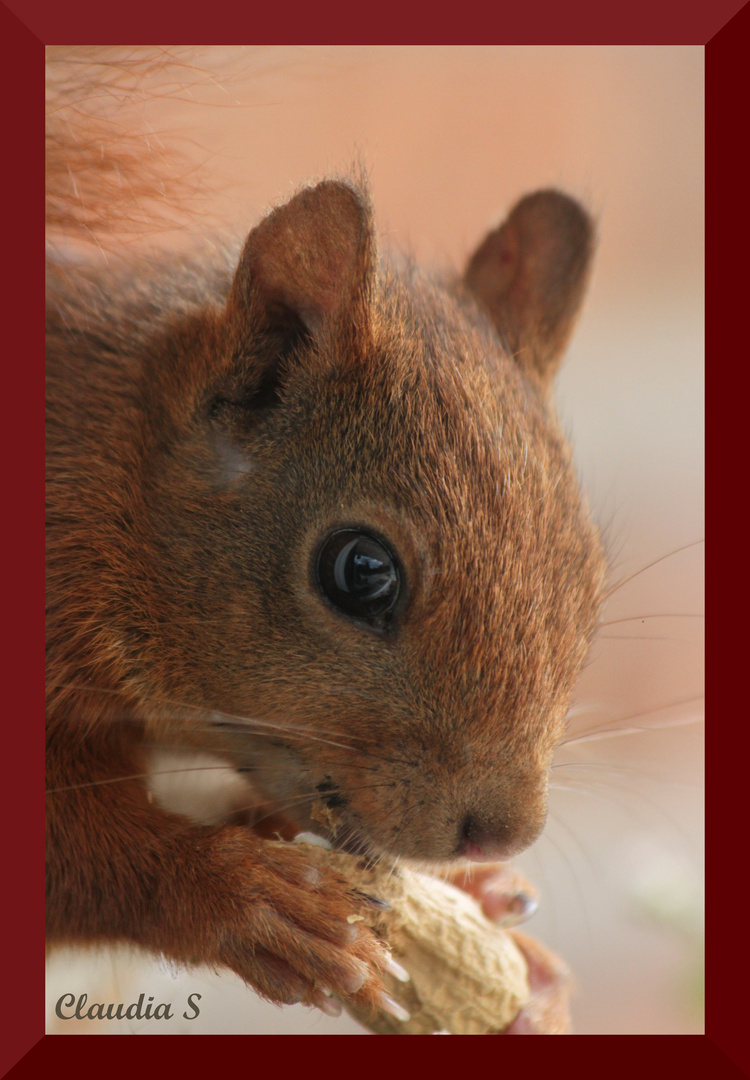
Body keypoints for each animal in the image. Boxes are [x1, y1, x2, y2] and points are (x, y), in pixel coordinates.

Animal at [45, 50, 609, 1028]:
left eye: (590, 579)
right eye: (361, 571)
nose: (501, 832)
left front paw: (503, 934)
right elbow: (63, 853)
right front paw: (251, 902)